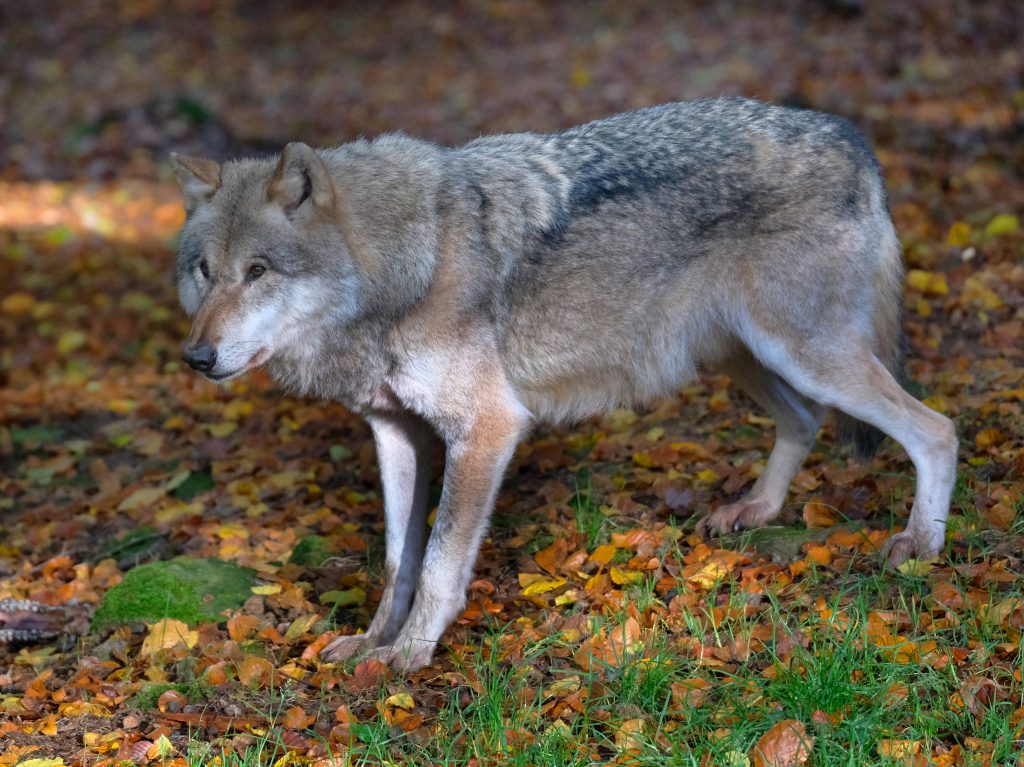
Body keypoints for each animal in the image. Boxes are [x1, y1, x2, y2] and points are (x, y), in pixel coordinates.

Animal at [170, 97, 958, 672]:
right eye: (204, 270)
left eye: (259, 271)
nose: (197, 356)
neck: (402, 266)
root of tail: (851, 136)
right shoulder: (397, 432)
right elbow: (398, 561)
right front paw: (373, 641)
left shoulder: (487, 429)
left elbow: (440, 562)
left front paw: (411, 654)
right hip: (738, 356)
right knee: (804, 421)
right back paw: (755, 510)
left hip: (805, 355)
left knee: (937, 430)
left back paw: (919, 545)